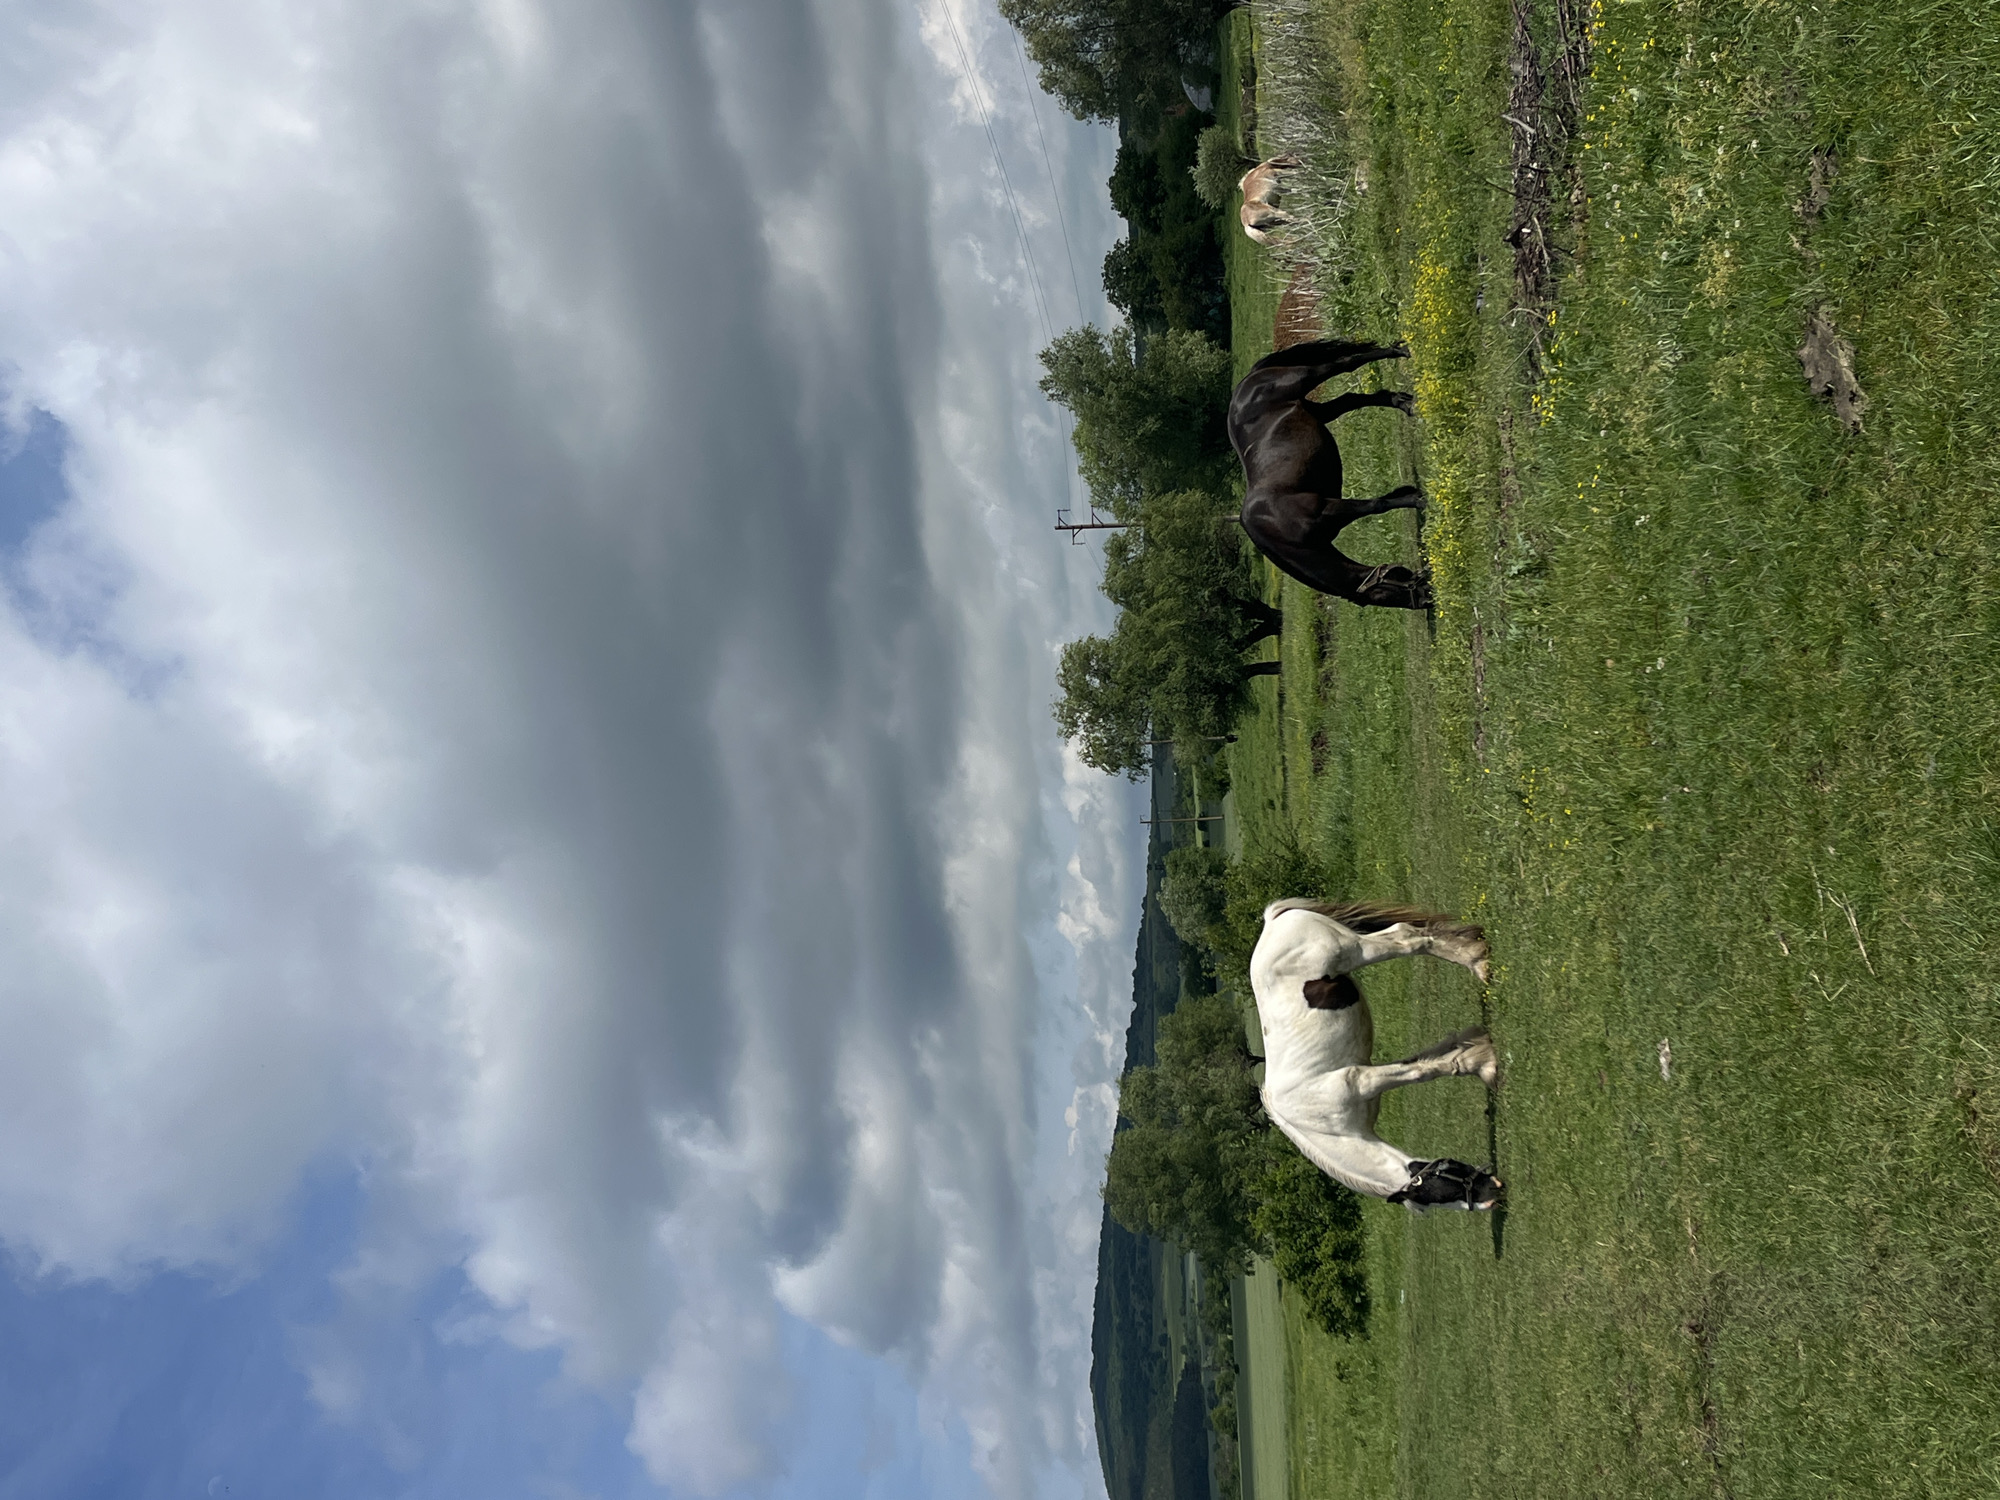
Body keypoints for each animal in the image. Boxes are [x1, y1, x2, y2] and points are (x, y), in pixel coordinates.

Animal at [1229, 339, 1430, 610]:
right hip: (1317, 411)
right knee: (1354, 399)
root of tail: (1245, 383)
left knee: (1344, 364)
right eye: (1385, 597)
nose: (1428, 598)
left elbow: (1377, 505)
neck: (1279, 525)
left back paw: (1400, 351)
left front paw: (1420, 500)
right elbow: (1382, 502)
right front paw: (1414, 494)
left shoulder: (1328, 508)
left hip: (1306, 377)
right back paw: (1405, 403)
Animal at [1250, 898, 1504, 1210]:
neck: (1319, 1122)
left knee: (1407, 938)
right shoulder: (1371, 1072)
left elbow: (1423, 1070)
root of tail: (1272, 920)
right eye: (1440, 1197)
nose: (1492, 1194)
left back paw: (1476, 961)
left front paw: (1485, 1063)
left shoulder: (1361, 1080)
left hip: (1357, 950)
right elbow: (1424, 1060)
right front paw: (1479, 1050)